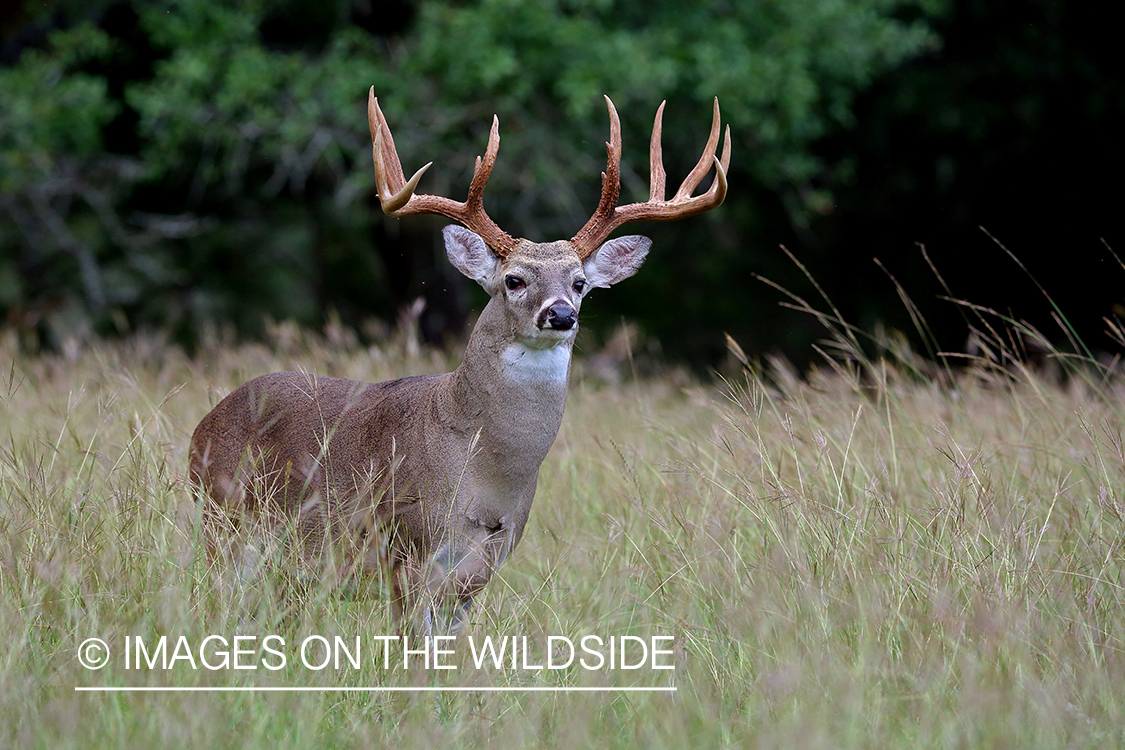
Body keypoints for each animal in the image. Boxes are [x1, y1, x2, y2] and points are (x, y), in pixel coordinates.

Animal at [189, 89, 733, 638]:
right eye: (514, 280)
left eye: (580, 282)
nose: (561, 314)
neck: (485, 473)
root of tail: (205, 422)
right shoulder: (404, 547)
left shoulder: (483, 566)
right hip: (224, 526)